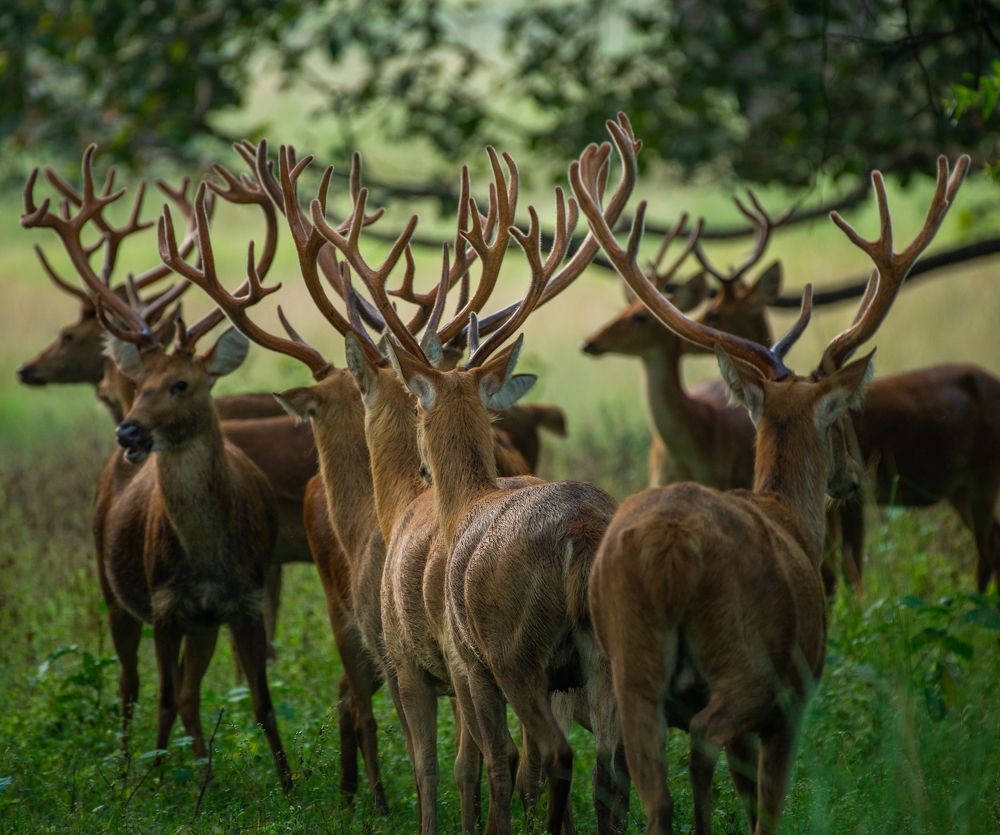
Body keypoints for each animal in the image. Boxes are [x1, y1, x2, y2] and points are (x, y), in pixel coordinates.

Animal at [21, 147, 294, 793]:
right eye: (139, 383)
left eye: (182, 384)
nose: (129, 432)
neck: (209, 556)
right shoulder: (166, 604)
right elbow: (162, 699)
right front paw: (148, 787)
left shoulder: (242, 601)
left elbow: (263, 702)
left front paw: (290, 786)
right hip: (113, 589)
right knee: (131, 686)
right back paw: (132, 768)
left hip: (201, 623)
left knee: (190, 693)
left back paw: (203, 775)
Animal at [572, 116, 969, 834]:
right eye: (846, 417)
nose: (850, 478)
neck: (790, 518)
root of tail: (669, 548)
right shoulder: (798, 689)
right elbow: (768, 804)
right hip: (749, 661)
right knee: (703, 737)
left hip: (623, 662)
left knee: (646, 788)